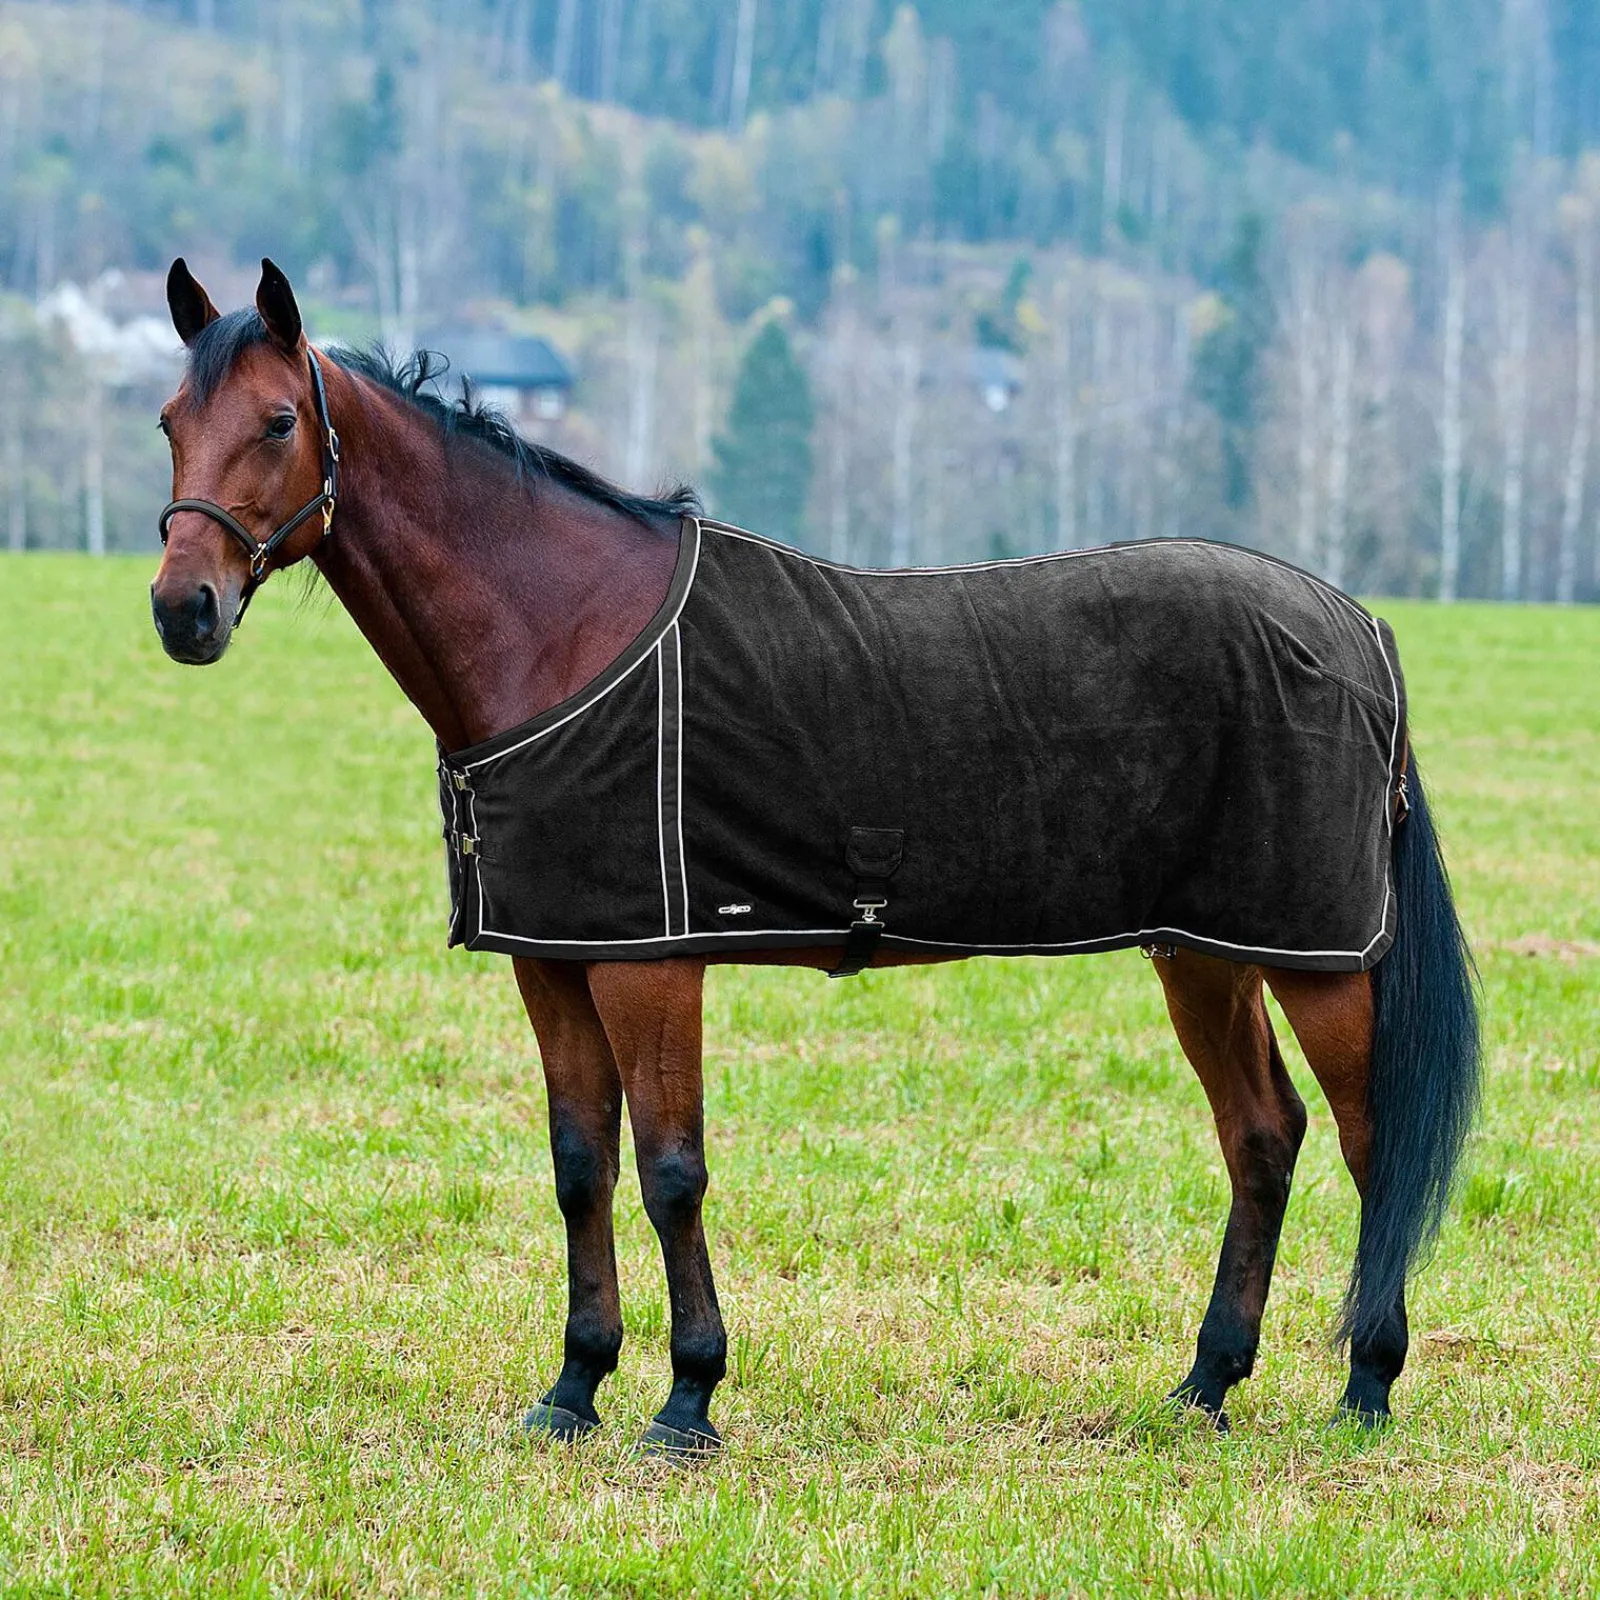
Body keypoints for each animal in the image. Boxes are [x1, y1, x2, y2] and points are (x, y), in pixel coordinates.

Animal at [149, 258, 1479, 1455]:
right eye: (168, 420)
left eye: (277, 420)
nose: (182, 609)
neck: (559, 632)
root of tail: (1361, 627)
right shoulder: (553, 956)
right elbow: (581, 1166)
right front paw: (573, 1388)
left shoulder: (649, 962)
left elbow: (669, 1168)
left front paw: (686, 1400)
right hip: (1205, 951)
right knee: (1262, 1135)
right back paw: (1203, 1387)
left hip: (1313, 958)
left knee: (1372, 1142)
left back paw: (1365, 1385)